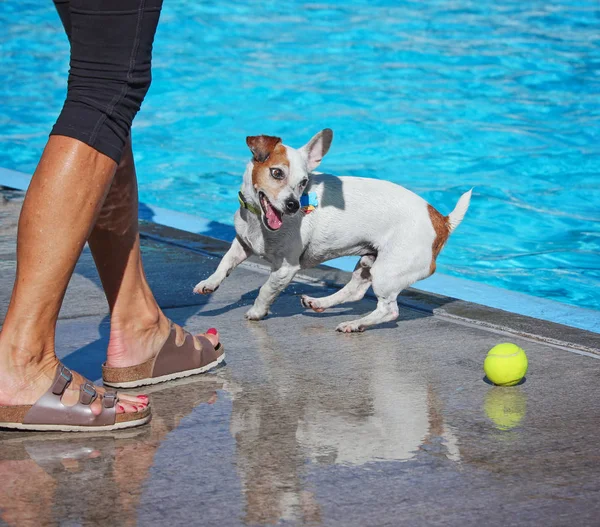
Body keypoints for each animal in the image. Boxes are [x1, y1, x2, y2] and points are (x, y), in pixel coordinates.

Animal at [195, 129, 472, 332]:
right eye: (276, 173)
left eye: (303, 182)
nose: (294, 205)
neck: (259, 222)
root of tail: (441, 220)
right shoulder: (243, 243)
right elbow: (224, 263)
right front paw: (209, 284)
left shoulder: (286, 269)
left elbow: (266, 289)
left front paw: (256, 311)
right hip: (368, 262)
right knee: (355, 292)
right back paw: (319, 303)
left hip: (388, 271)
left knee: (389, 310)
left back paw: (354, 324)